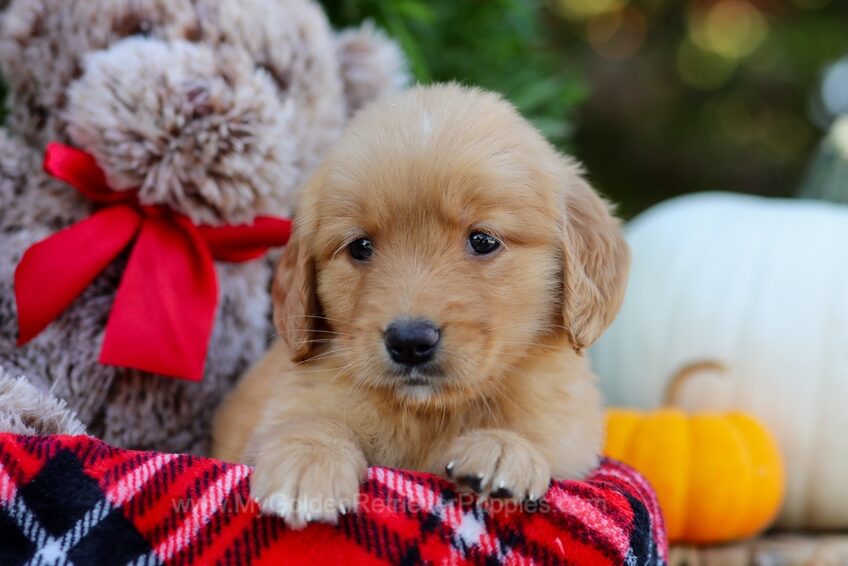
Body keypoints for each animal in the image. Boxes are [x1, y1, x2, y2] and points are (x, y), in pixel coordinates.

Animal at [212, 82, 628, 532]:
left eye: (483, 240)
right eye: (360, 246)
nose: (409, 341)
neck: (427, 412)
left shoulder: (568, 439)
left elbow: (536, 440)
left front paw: (502, 449)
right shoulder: (293, 400)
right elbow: (309, 420)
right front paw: (307, 461)